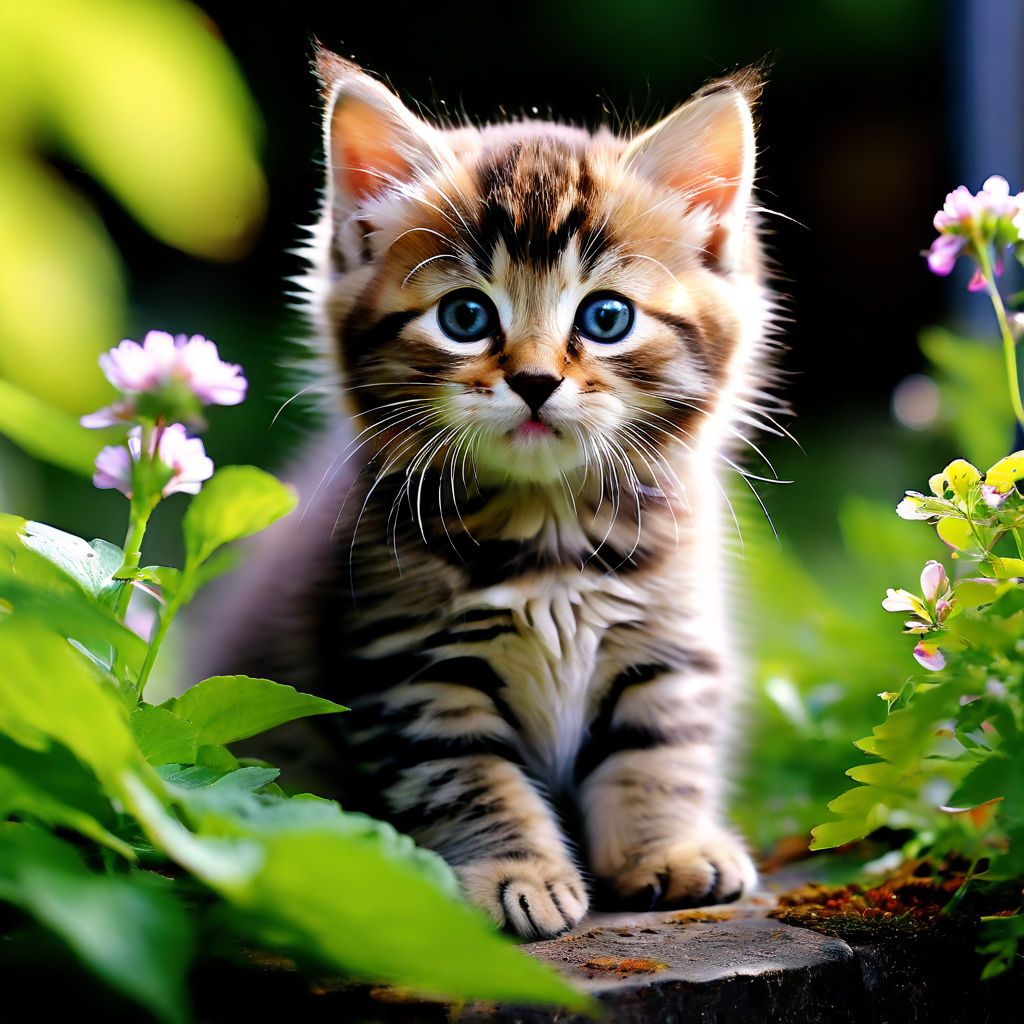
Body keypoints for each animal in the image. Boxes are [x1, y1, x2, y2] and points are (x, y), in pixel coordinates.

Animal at [214, 48, 774, 937]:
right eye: (467, 317)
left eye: (606, 318)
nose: (536, 381)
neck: (550, 538)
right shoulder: (416, 675)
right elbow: (473, 782)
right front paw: (519, 874)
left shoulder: (669, 639)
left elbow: (658, 751)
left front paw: (670, 849)